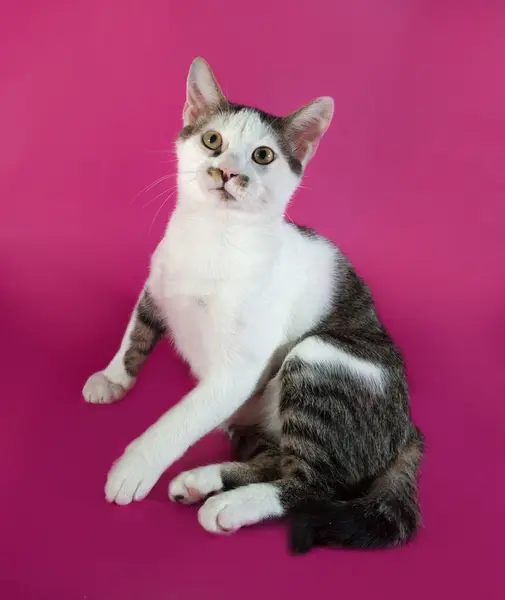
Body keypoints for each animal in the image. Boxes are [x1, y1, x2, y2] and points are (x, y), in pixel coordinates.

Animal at [82, 56, 422, 552]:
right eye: (212, 140)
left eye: (263, 156)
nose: (225, 172)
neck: (211, 235)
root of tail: (409, 428)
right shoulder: (158, 283)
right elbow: (136, 330)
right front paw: (113, 378)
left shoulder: (236, 372)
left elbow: (181, 417)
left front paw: (135, 466)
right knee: (277, 459)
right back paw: (202, 481)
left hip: (322, 356)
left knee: (313, 483)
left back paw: (230, 505)